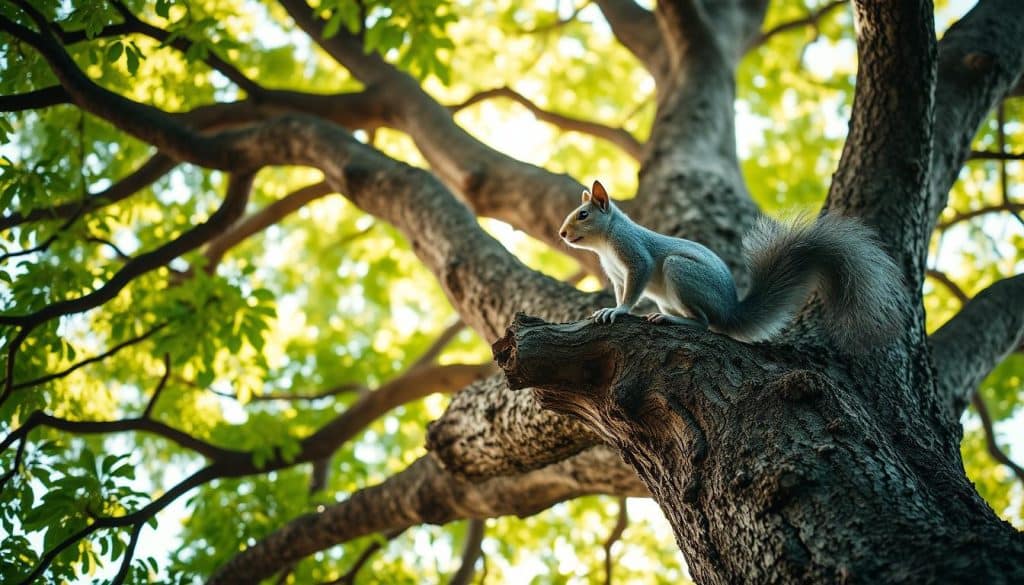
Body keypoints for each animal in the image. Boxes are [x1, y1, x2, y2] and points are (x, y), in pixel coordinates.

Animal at [558, 180, 903, 350]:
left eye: (583, 215)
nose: (562, 234)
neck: (605, 244)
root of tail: (729, 310)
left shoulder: (635, 256)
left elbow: (633, 288)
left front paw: (619, 311)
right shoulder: (617, 275)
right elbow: (621, 290)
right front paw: (609, 308)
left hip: (678, 270)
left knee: (704, 323)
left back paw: (674, 321)